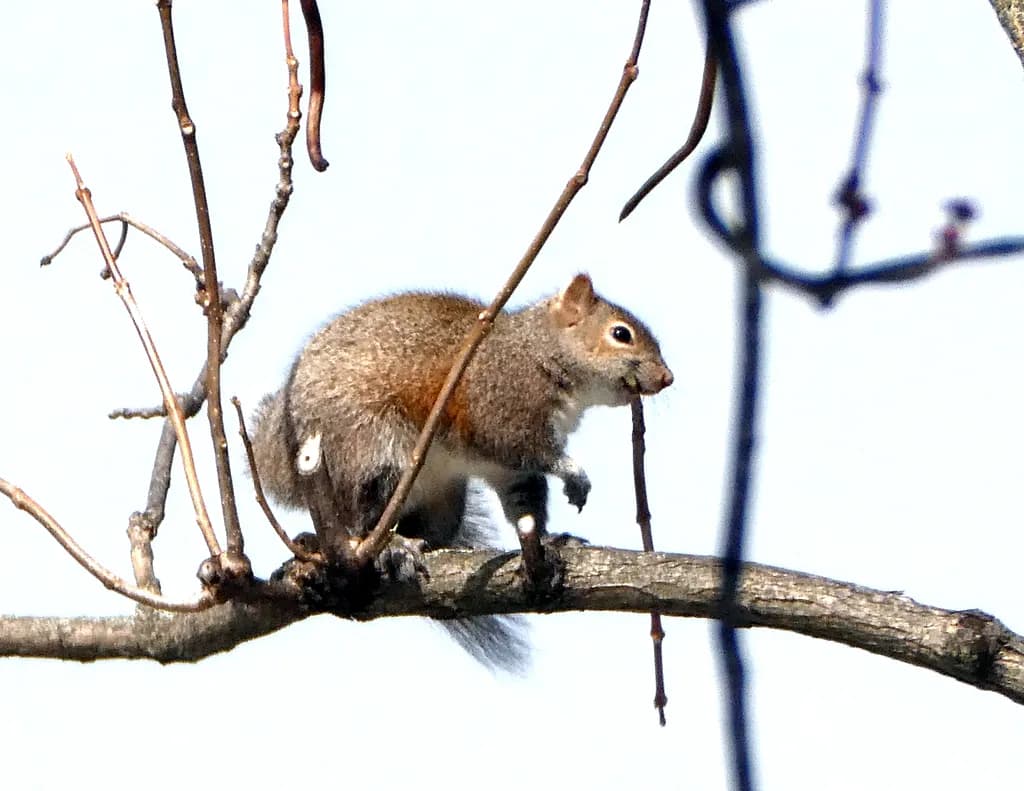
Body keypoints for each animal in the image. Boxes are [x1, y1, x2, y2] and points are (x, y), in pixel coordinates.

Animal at [250, 273, 673, 670]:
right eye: (621, 334)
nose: (667, 378)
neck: (536, 351)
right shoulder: (500, 410)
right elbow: (532, 449)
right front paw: (574, 473)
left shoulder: (509, 471)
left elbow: (526, 508)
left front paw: (549, 540)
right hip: (372, 452)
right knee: (360, 521)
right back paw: (393, 546)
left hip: (445, 498)